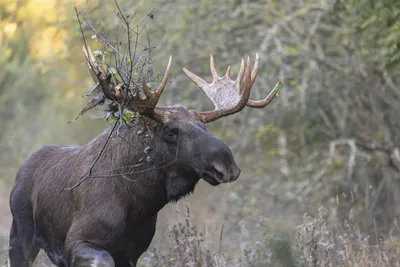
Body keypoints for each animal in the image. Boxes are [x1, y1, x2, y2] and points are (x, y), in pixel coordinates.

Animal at [7, 49, 280, 266]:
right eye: (171, 131)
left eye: (203, 126)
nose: (227, 164)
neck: (139, 201)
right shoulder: (77, 241)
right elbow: (103, 259)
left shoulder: (133, 252)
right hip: (20, 236)